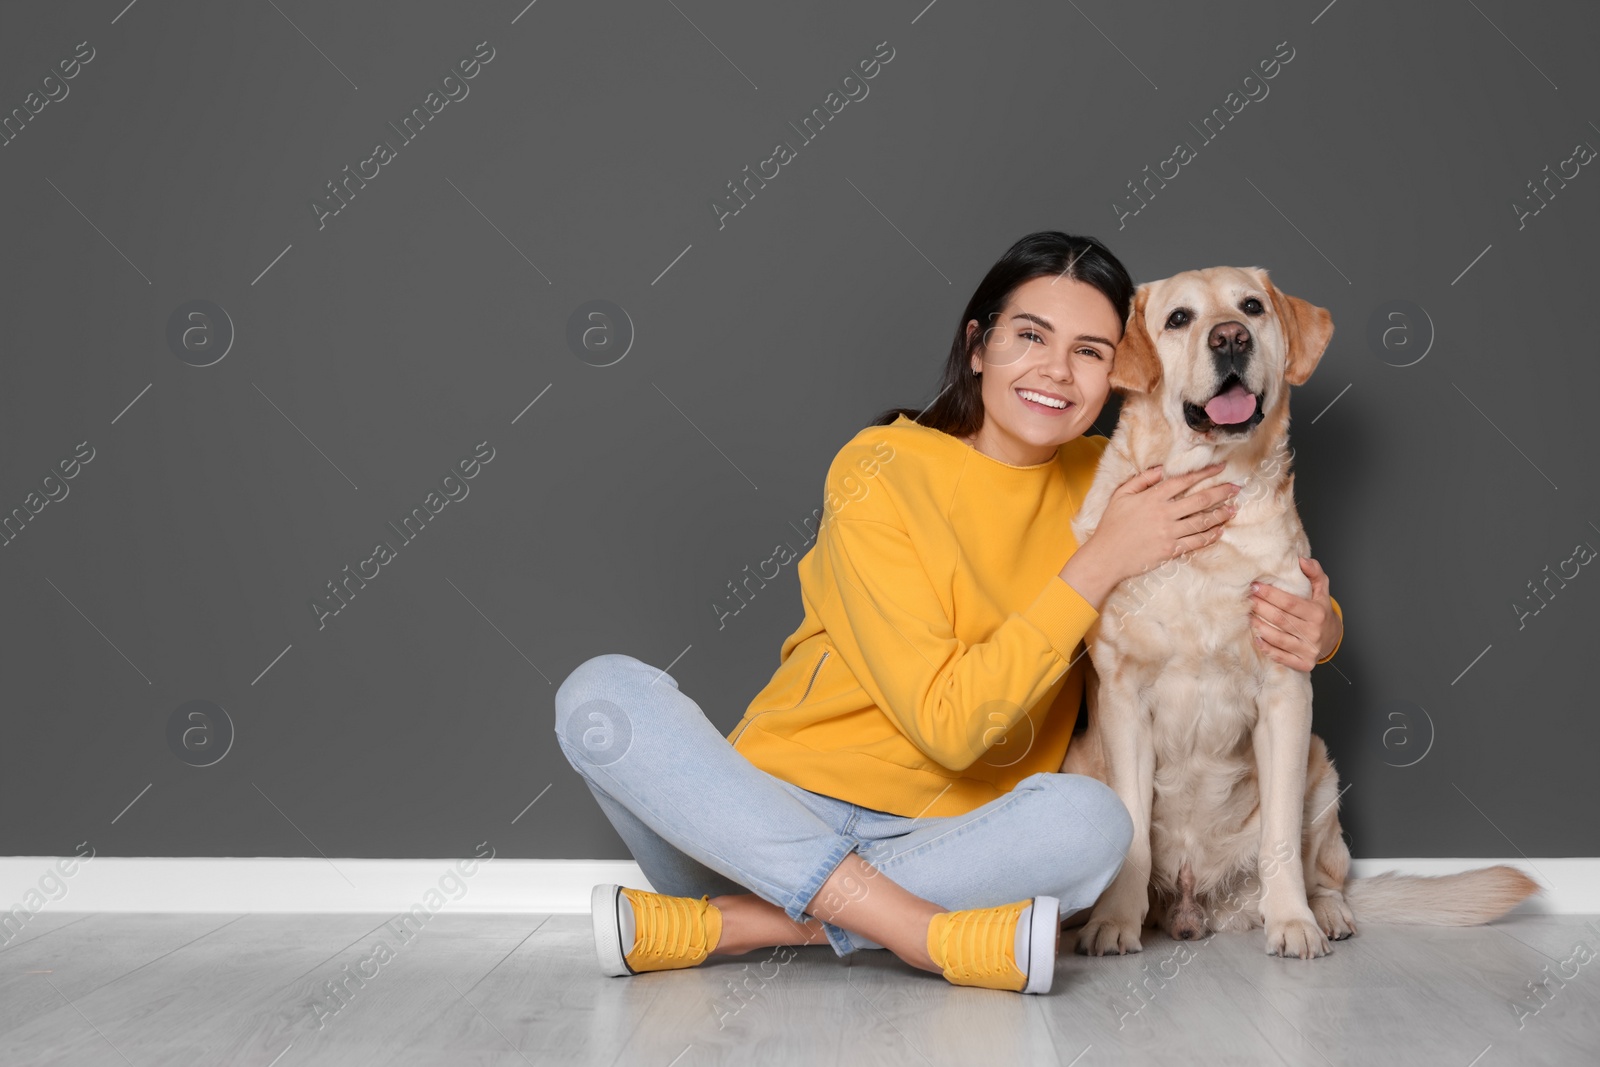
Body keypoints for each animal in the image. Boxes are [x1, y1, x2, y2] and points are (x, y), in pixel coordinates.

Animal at [1062, 267, 1536, 959]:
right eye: (1179, 319)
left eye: (1251, 307)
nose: (1231, 338)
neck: (1211, 504)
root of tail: (1194, 902)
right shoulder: (1125, 697)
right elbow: (1132, 832)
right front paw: (1114, 923)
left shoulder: (1286, 696)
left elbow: (1280, 840)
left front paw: (1292, 923)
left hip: (1322, 771)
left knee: (1326, 871)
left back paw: (1326, 913)